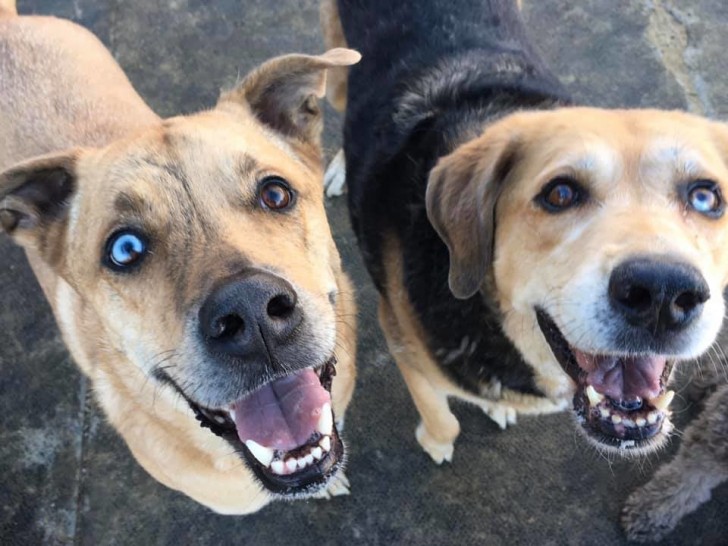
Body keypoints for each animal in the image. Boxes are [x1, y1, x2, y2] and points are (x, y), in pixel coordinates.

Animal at [322, 0, 728, 462]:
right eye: (560, 193)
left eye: (705, 198)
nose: (662, 294)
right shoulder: (401, 340)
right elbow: (443, 417)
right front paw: (437, 443)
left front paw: (497, 409)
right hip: (339, 69)